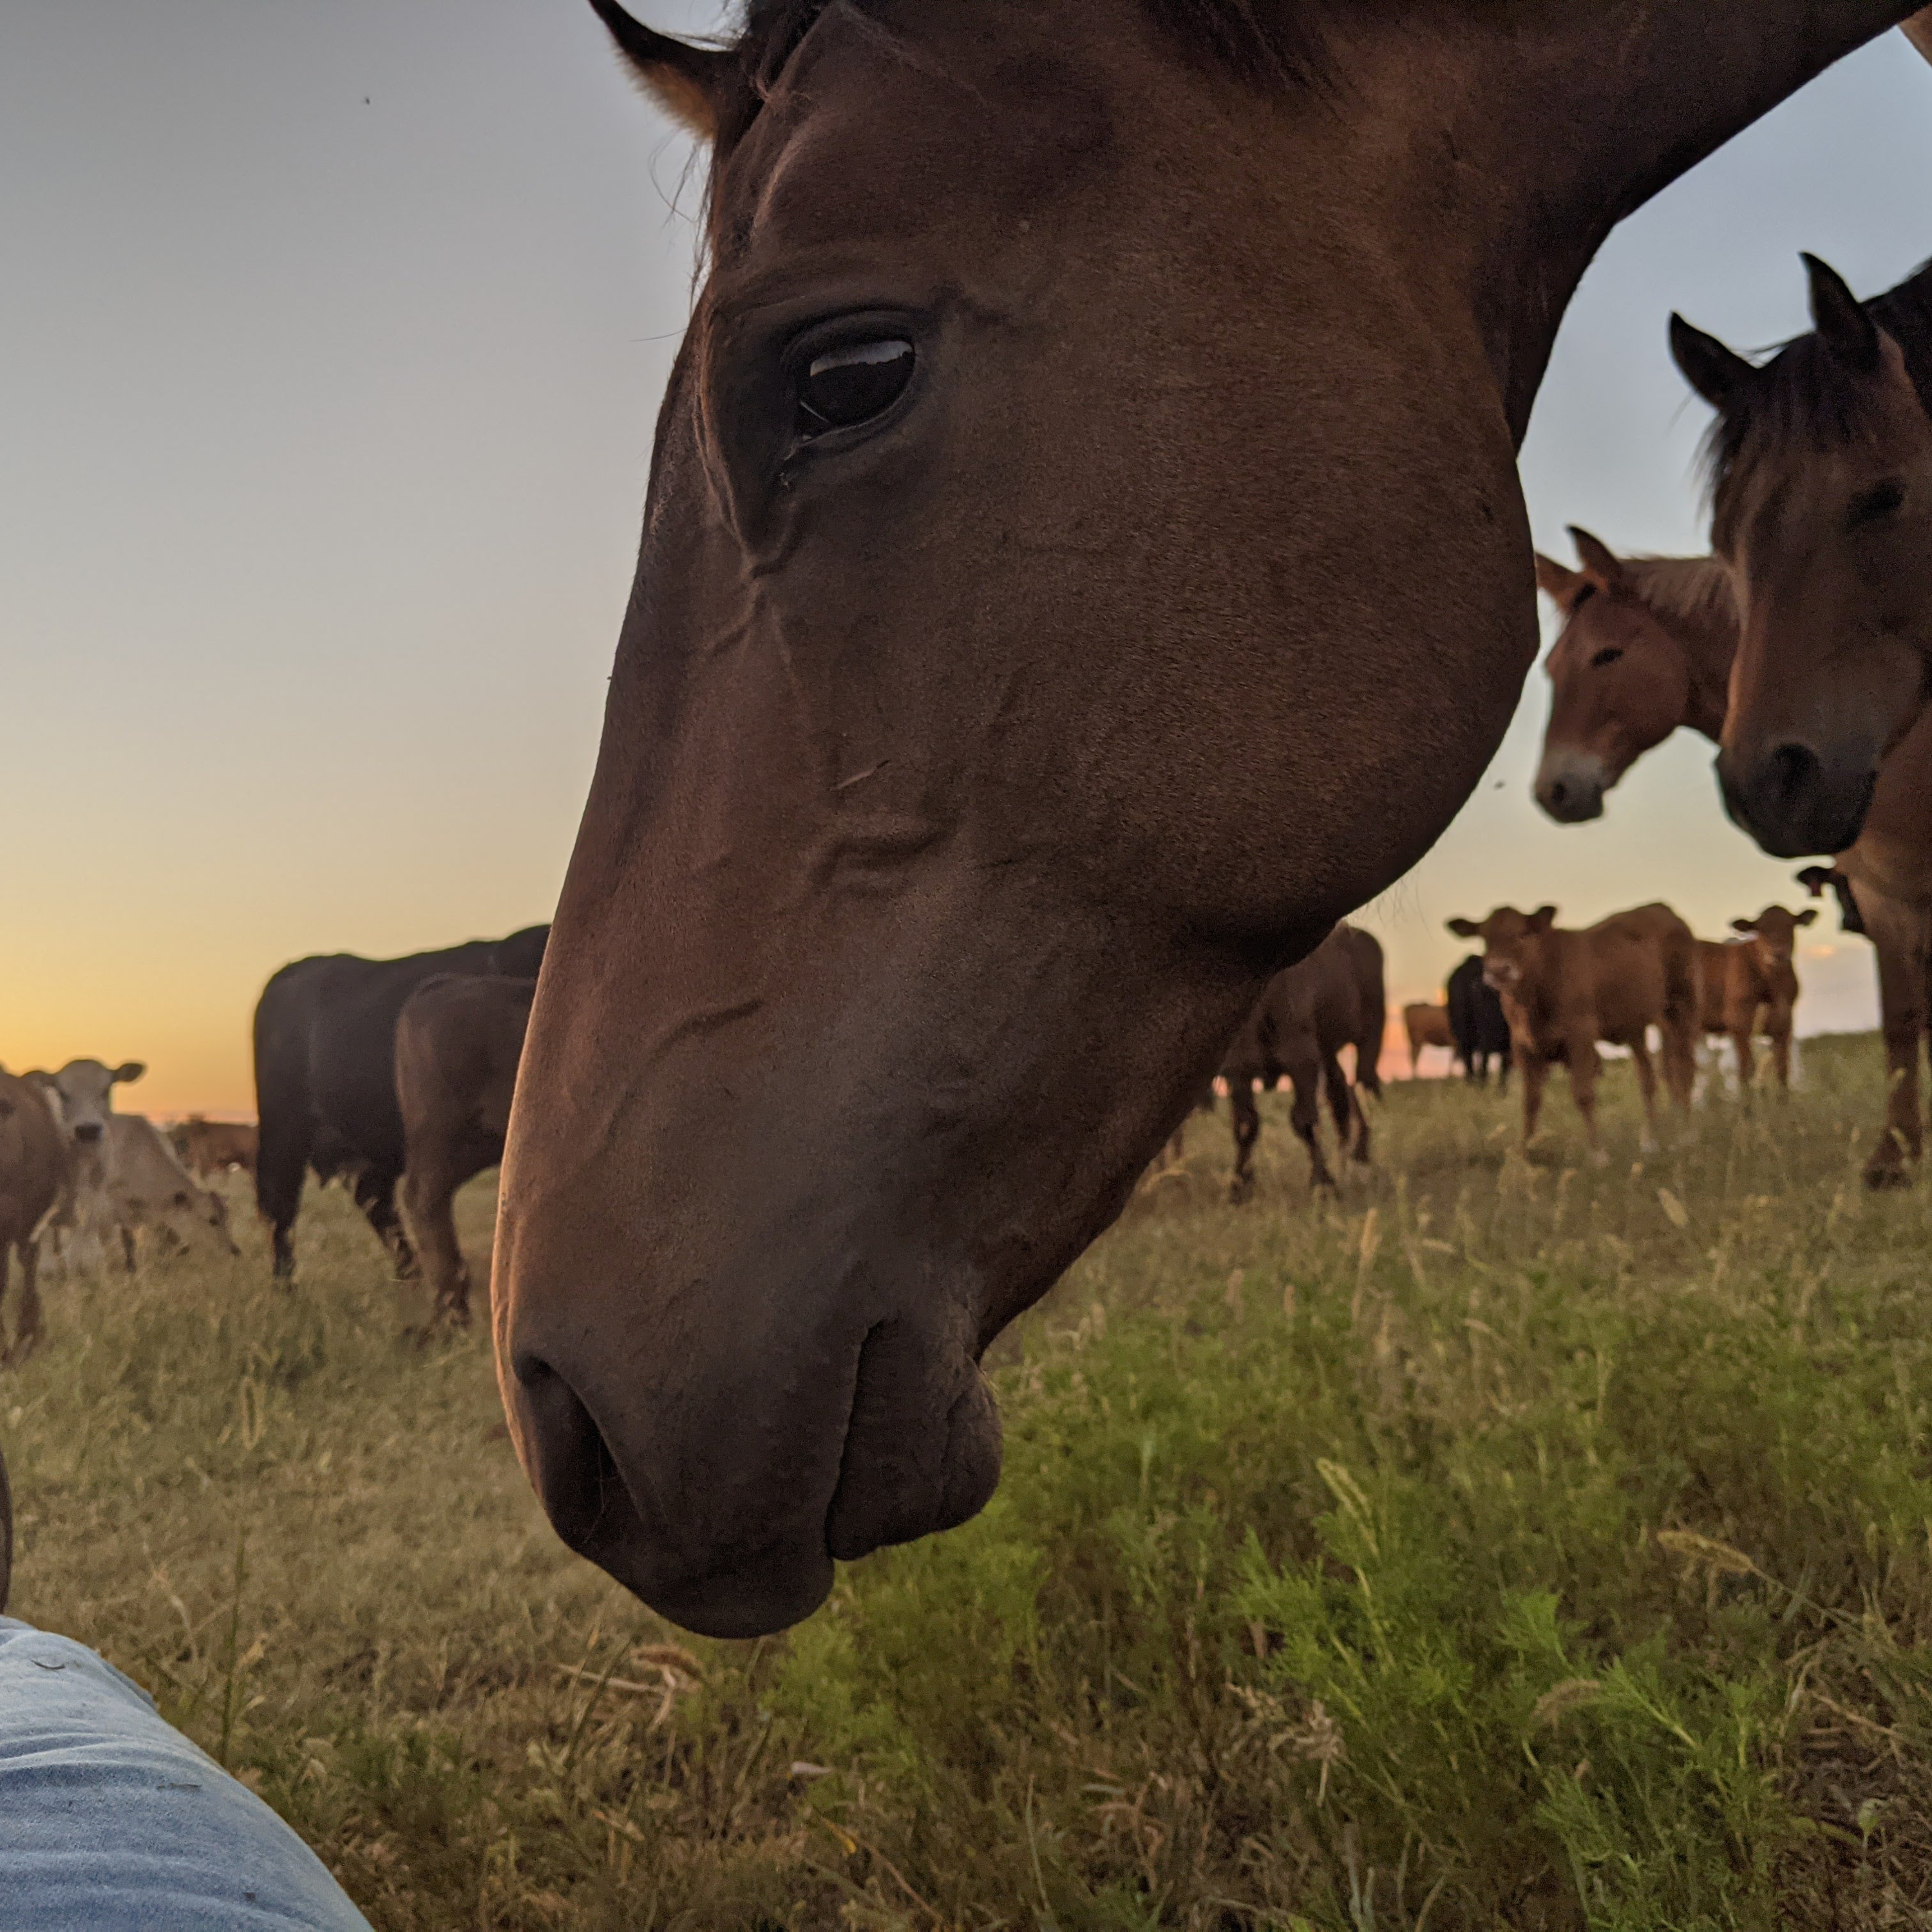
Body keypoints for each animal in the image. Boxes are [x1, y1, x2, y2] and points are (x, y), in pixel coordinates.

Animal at [1531, 525, 1932, 1182]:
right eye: (1550, 668)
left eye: (1607, 655)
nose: (1552, 791)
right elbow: (1904, 1019)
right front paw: (1898, 1153)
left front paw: (1894, 1156)